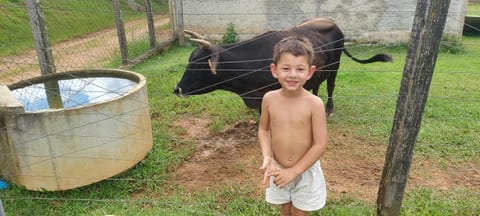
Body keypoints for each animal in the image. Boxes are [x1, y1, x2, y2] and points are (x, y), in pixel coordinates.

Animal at [174, 17, 392, 115]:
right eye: (189, 61)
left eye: (198, 65)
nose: (177, 89)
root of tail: (332, 22)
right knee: (316, 84)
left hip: (334, 67)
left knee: (331, 86)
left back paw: (328, 108)